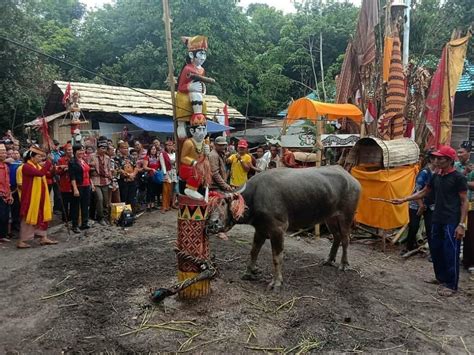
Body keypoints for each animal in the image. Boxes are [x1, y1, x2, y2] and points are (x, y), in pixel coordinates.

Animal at [206, 167, 360, 292]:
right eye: (208, 206)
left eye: (223, 203)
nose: (212, 224)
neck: (255, 197)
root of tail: (352, 180)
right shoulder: (260, 229)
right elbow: (253, 251)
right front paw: (249, 272)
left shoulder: (277, 229)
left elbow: (276, 257)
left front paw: (277, 282)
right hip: (330, 217)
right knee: (336, 236)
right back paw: (329, 259)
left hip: (346, 216)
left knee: (345, 239)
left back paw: (344, 264)